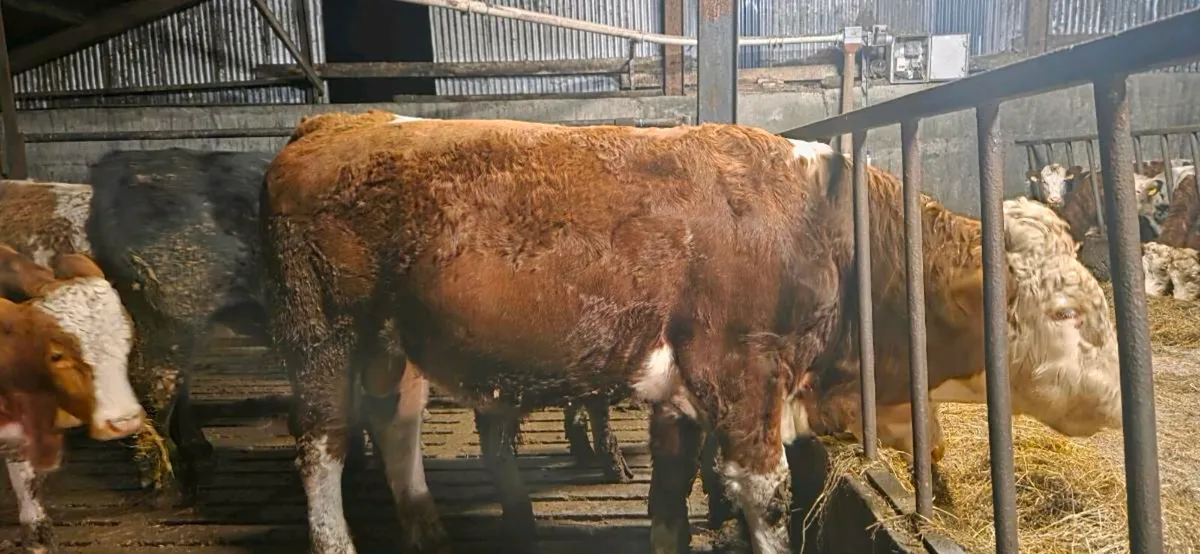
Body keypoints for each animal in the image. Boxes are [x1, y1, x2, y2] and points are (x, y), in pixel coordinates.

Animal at [259, 111, 857, 554]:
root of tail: (335, 121)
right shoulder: (741, 369)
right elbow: (769, 493)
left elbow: (673, 486)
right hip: (322, 332)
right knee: (321, 443)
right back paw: (336, 541)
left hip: (392, 341)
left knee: (395, 422)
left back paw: (427, 529)